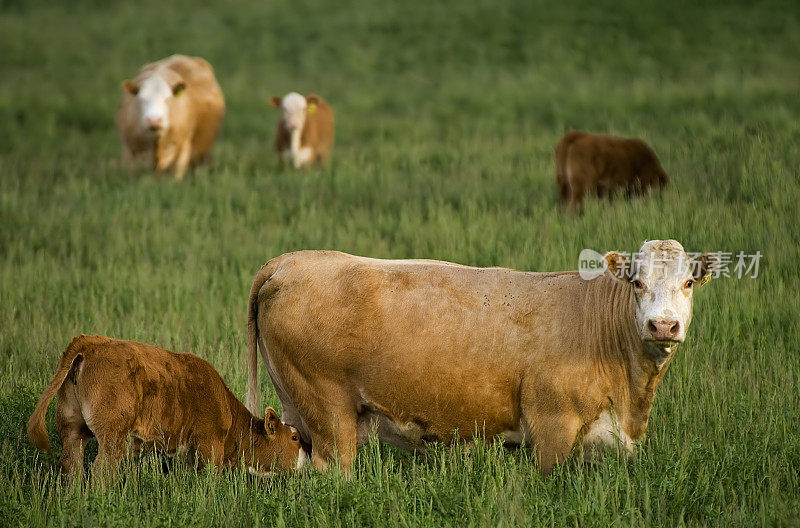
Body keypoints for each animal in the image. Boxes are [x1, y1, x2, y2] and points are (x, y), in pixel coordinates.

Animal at [26, 336, 304, 480]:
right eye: (295, 437)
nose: (306, 462)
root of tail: (91, 342)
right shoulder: (209, 444)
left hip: (72, 427)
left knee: (71, 465)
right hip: (112, 434)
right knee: (102, 470)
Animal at [245, 241, 720, 476]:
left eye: (688, 283)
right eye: (637, 282)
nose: (663, 325)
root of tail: (290, 261)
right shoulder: (552, 427)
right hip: (329, 414)